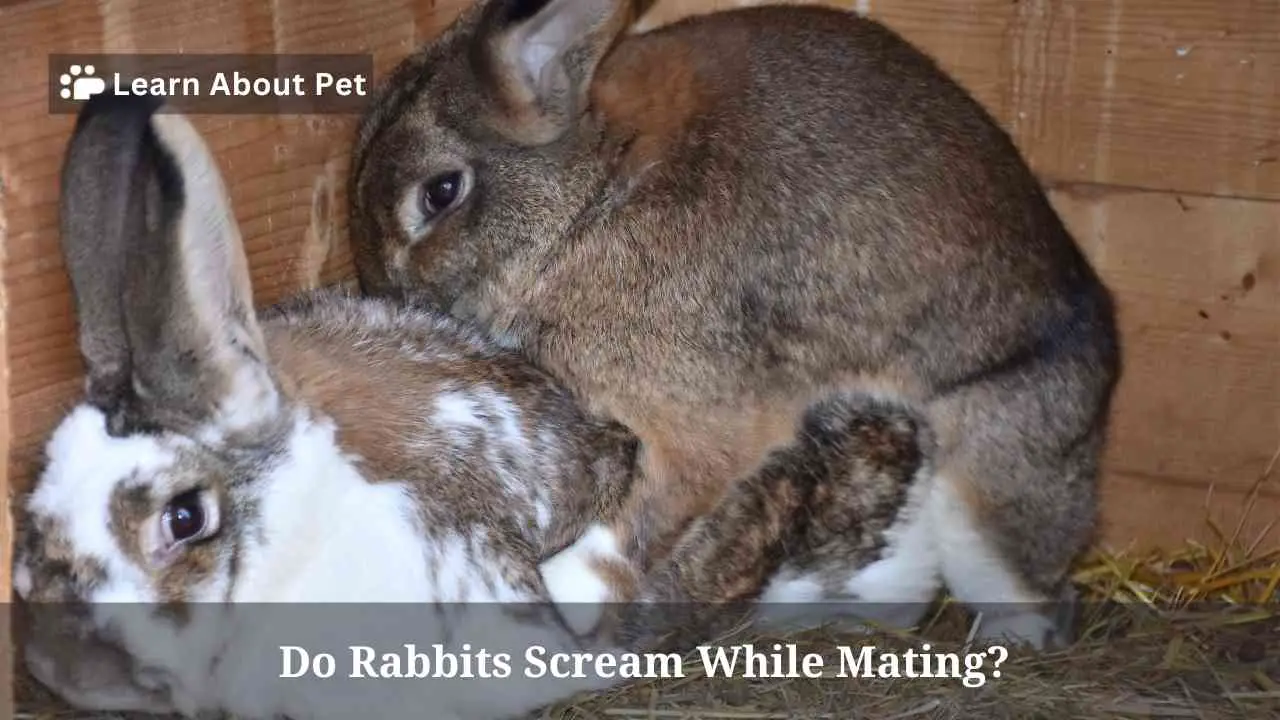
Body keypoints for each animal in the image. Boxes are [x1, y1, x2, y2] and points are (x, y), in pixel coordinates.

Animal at [347, 0, 1122, 651]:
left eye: (440, 192)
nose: (390, 295)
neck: (593, 196)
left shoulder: (700, 417)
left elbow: (644, 515)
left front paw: (566, 595)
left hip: (988, 500)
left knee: (1037, 594)